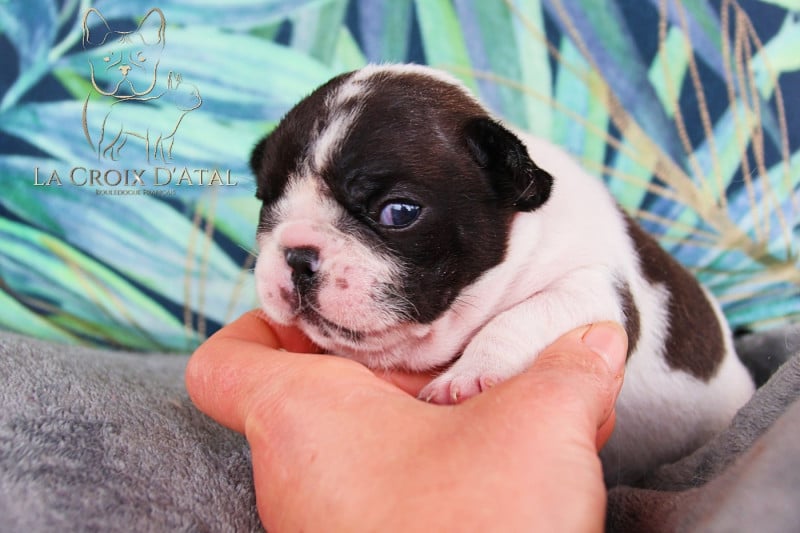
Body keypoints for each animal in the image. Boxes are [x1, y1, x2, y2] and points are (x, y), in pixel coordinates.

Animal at [250, 64, 755, 485]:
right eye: (266, 200)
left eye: (398, 212)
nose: (296, 254)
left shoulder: (595, 289)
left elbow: (524, 316)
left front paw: (470, 374)